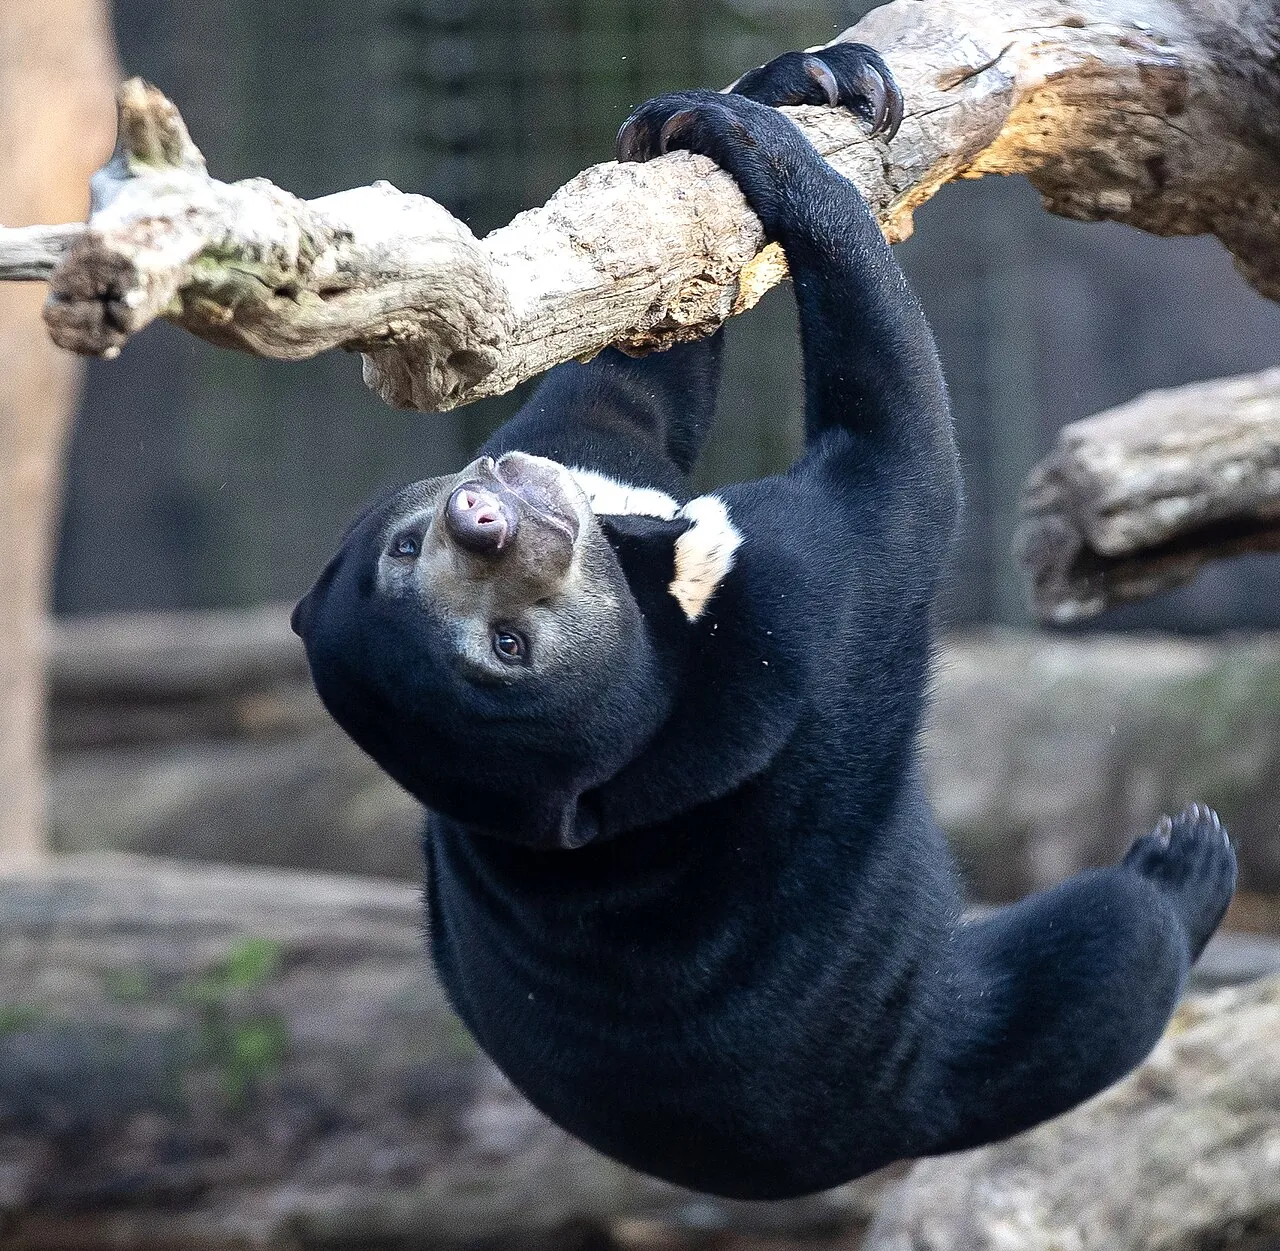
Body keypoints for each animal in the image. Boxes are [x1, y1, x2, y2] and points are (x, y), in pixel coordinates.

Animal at [292, 44, 1238, 1200]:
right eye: (507, 648)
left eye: (402, 549)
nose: (481, 515)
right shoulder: (795, 612)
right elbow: (900, 465)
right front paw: (772, 150)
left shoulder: (591, 466)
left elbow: (629, 390)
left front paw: (783, 87)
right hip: (946, 1042)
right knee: (1105, 962)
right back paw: (1181, 866)